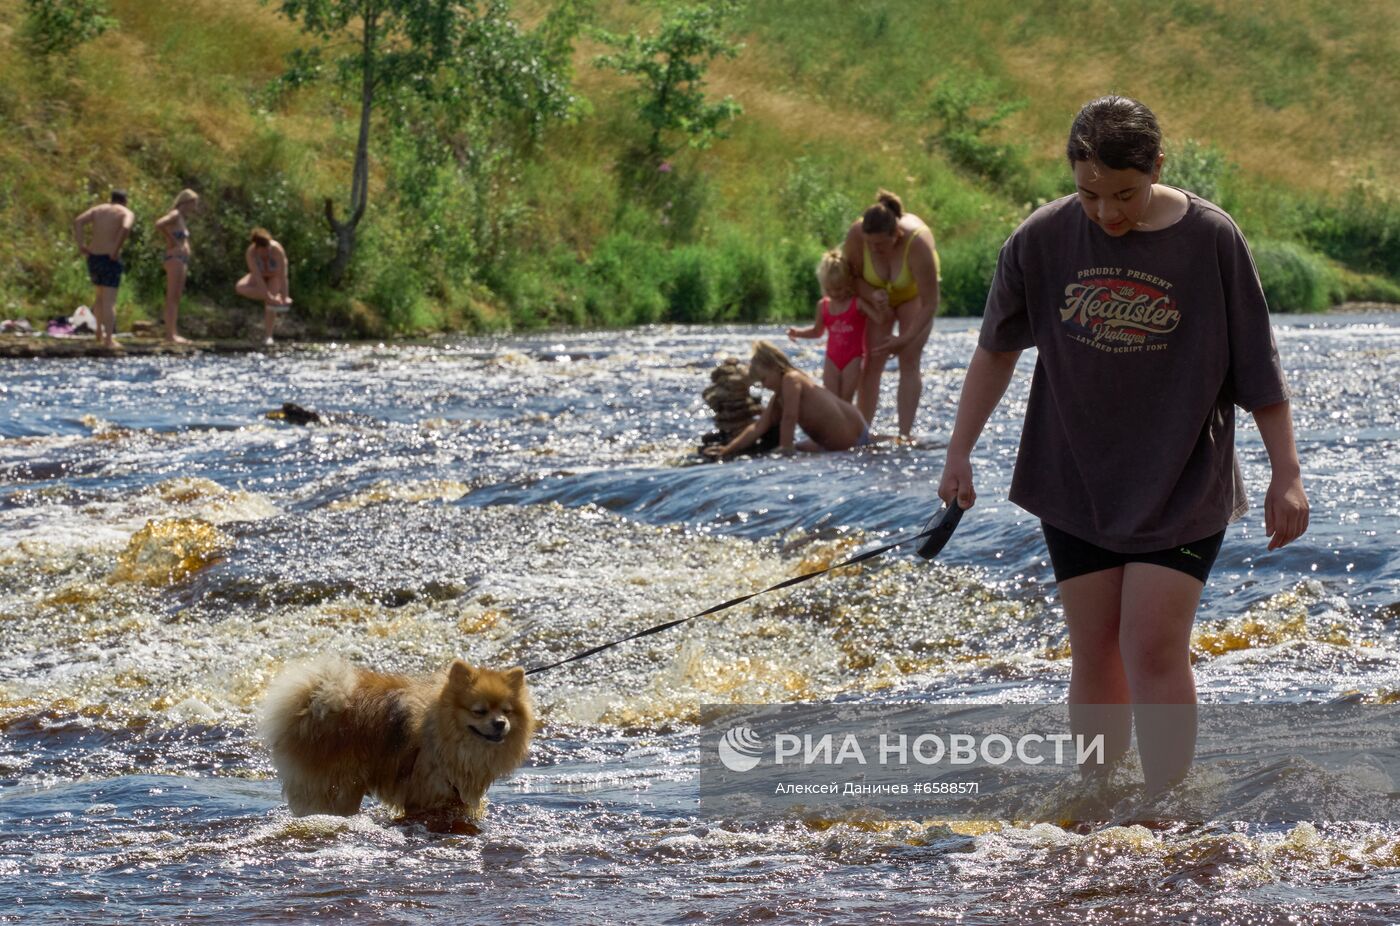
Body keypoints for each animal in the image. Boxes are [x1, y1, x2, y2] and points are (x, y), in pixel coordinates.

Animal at [260, 652, 532, 829]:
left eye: (506, 711)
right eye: (479, 711)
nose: (500, 723)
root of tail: (309, 703)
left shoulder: (456, 795)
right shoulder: (424, 794)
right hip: (337, 788)